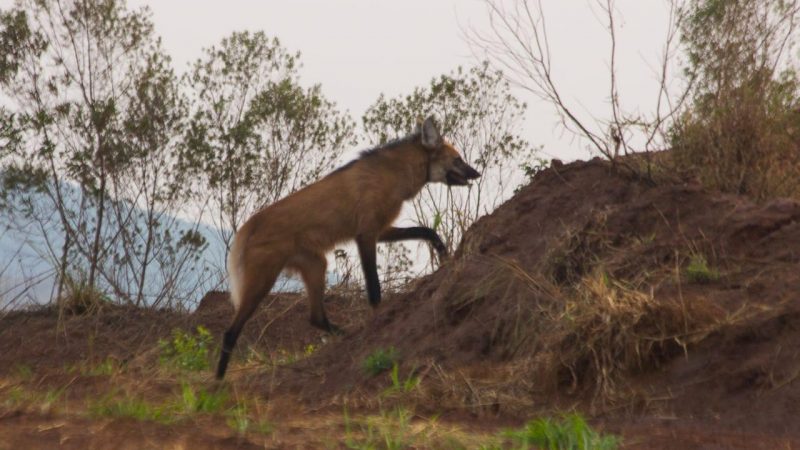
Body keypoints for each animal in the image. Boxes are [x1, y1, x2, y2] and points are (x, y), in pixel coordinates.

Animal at [217, 115, 482, 376]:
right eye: (458, 160)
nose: (477, 174)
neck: (393, 174)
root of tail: (248, 226)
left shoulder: (380, 230)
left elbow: (428, 231)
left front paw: (444, 255)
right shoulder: (366, 234)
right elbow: (374, 287)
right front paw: (377, 319)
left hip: (316, 265)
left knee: (316, 318)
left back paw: (346, 336)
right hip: (263, 281)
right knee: (230, 332)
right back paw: (219, 381)